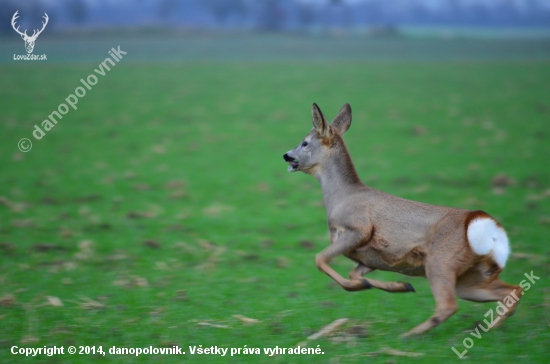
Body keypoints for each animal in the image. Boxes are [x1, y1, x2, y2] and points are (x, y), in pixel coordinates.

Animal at [286, 101, 524, 336]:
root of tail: (485, 224)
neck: (341, 198)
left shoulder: (358, 230)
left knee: (448, 305)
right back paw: (491, 329)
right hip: (471, 277)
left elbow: (320, 260)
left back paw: (409, 335)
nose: (287, 156)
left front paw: (370, 286)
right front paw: (398, 286)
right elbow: (354, 275)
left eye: (305, 142)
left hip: (441, 261)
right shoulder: (368, 258)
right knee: (513, 290)